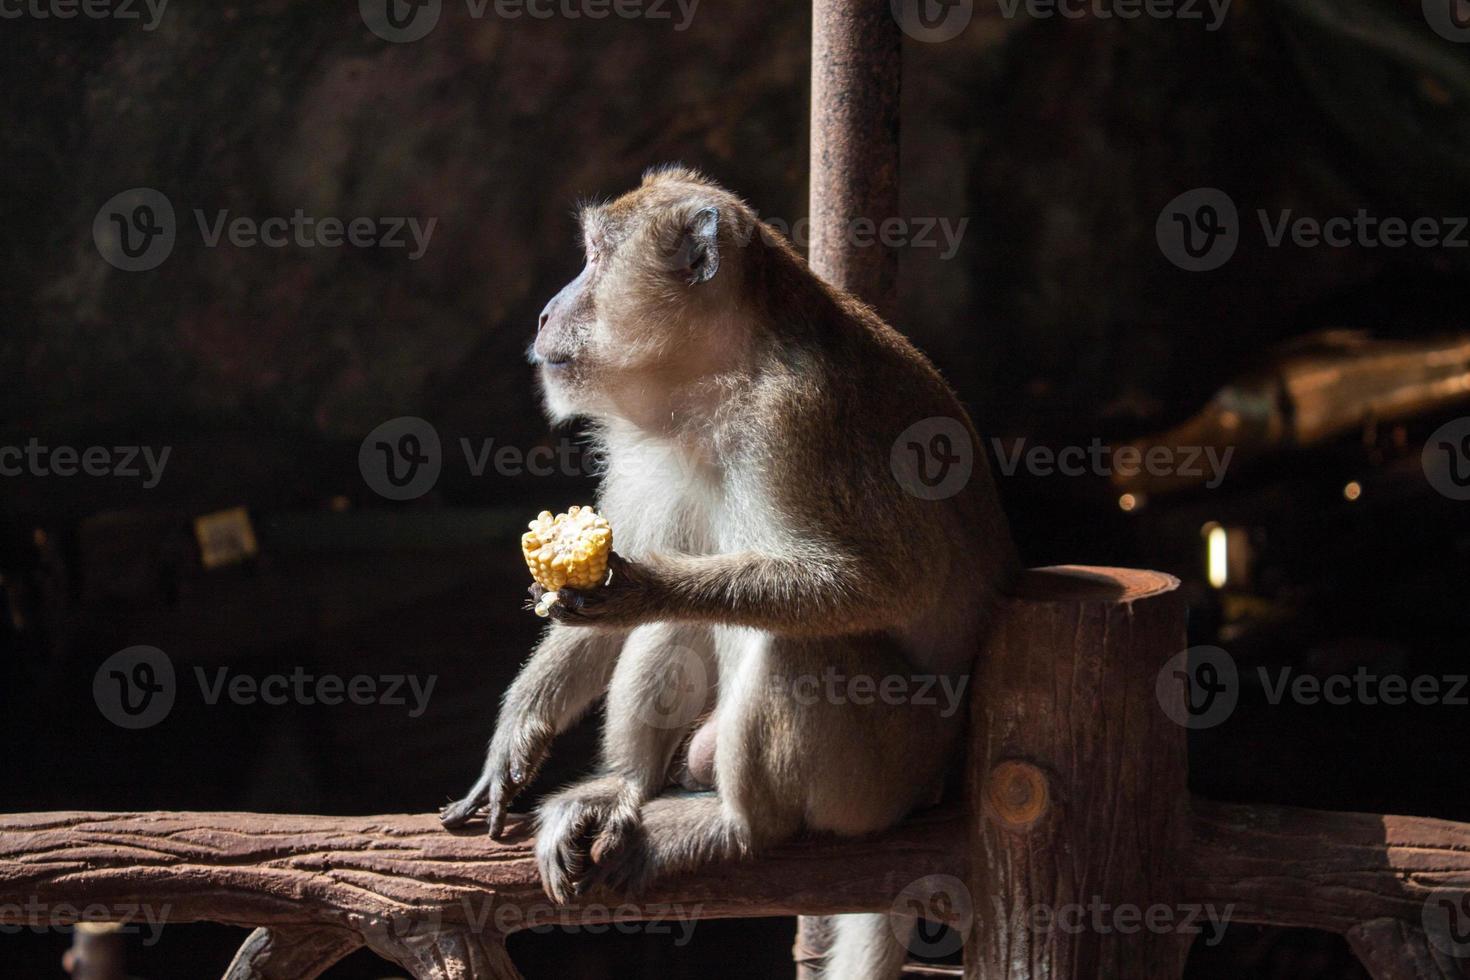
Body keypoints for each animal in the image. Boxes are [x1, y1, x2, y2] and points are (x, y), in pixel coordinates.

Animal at [441, 164, 1017, 975]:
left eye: (594, 256)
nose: (547, 311)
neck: (715, 385)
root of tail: (935, 790)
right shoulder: (640, 445)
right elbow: (612, 611)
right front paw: (517, 732)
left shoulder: (797, 417)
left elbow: (883, 584)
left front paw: (642, 587)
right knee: (679, 635)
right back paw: (621, 788)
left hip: (881, 781)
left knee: (797, 647)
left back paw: (738, 829)